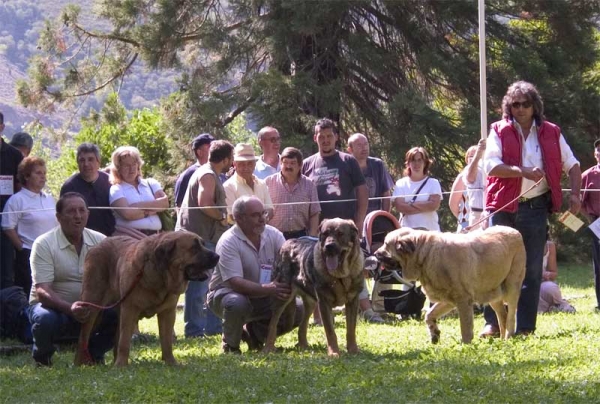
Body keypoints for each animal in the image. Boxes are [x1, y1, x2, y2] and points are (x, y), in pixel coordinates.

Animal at [72, 230, 218, 366]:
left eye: (203, 244)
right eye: (194, 247)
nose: (217, 256)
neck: (161, 276)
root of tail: (96, 246)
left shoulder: (168, 312)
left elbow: (166, 341)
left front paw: (171, 362)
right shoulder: (129, 310)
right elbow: (125, 341)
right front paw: (121, 366)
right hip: (91, 306)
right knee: (83, 337)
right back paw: (80, 363)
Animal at [262, 218, 364, 356]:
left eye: (340, 234)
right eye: (325, 234)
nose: (329, 246)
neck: (340, 275)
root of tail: (287, 241)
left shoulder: (353, 302)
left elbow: (351, 330)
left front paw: (353, 350)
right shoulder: (324, 303)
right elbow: (330, 331)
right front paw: (333, 353)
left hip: (311, 302)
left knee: (302, 324)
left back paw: (303, 345)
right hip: (283, 295)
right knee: (273, 322)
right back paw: (268, 348)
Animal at [376, 226, 524, 342]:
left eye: (386, 244)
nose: (375, 253)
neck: (425, 254)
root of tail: (516, 231)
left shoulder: (463, 300)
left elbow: (465, 328)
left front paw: (465, 346)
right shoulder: (448, 300)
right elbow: (429, 314)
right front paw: (434, 333)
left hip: (512, 288)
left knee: (511, 316)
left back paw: (509, 337)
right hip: (492, 293)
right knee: (502, 315)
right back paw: (502, 339)